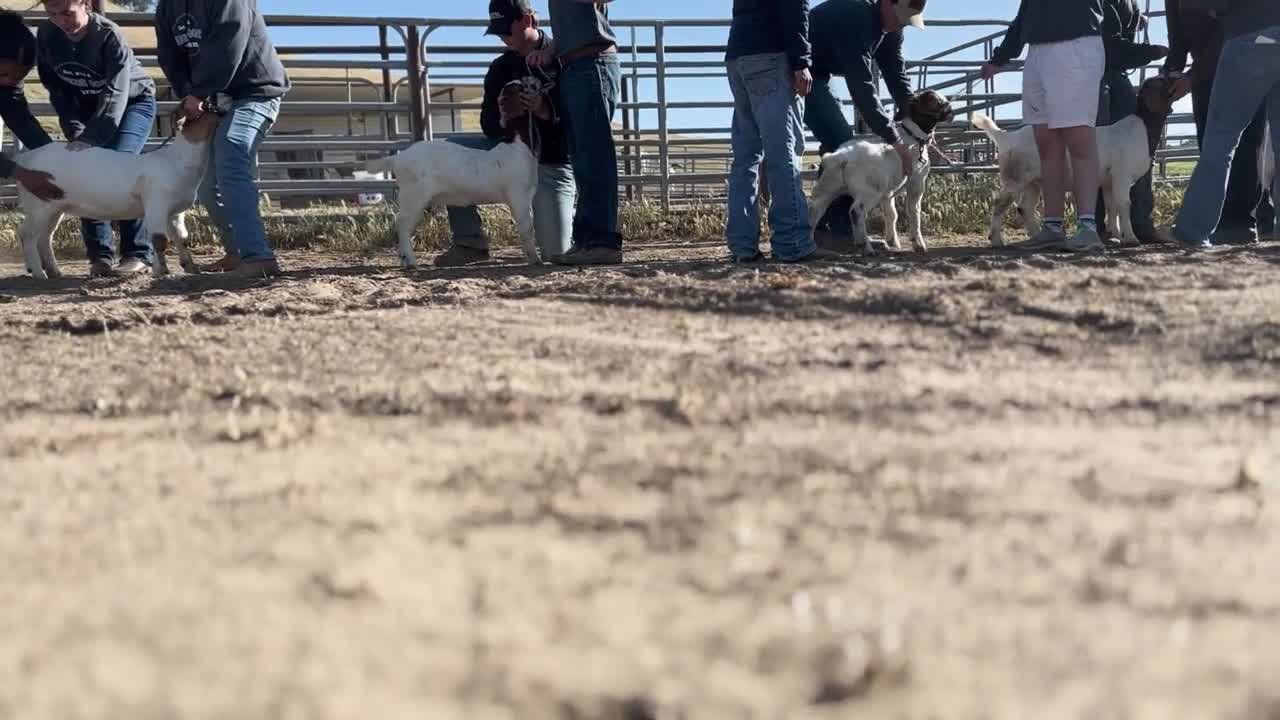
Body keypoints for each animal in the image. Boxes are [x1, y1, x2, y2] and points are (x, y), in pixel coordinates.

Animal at [13, 111, 220, 280]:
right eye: (200, 114)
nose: (218, 108)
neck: (177, 161)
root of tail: (25, 159)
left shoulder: (176, 212)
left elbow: (182, 239)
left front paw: (193, 269)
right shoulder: (156, 203)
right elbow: (159, 239)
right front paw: (162, 272)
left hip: (55, 206)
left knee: (45, 236)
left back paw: (54, 272)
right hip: (38, 203)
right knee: (27, 234)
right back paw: (39, 274)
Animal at [368, 134, 539, 270]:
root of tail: (398, 158)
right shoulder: (518, 195)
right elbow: (527, 227)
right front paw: (535, 259)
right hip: (413, 196)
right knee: (402, 223)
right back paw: (410, 262)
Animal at [972, 76, 1175, 248]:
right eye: (1160, 81)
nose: (1178, 75)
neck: (1141, 129)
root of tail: (1008, 138)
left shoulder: (1108, 181)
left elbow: (1113, 208)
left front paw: (1116, 236)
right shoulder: (1121, 175)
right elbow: (1124, 205)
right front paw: (1131, 239)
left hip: (1033, 181)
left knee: (1025, 207)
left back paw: (1037, 237)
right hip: (1016, 176)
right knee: (1000, 203)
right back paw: (997, 240)